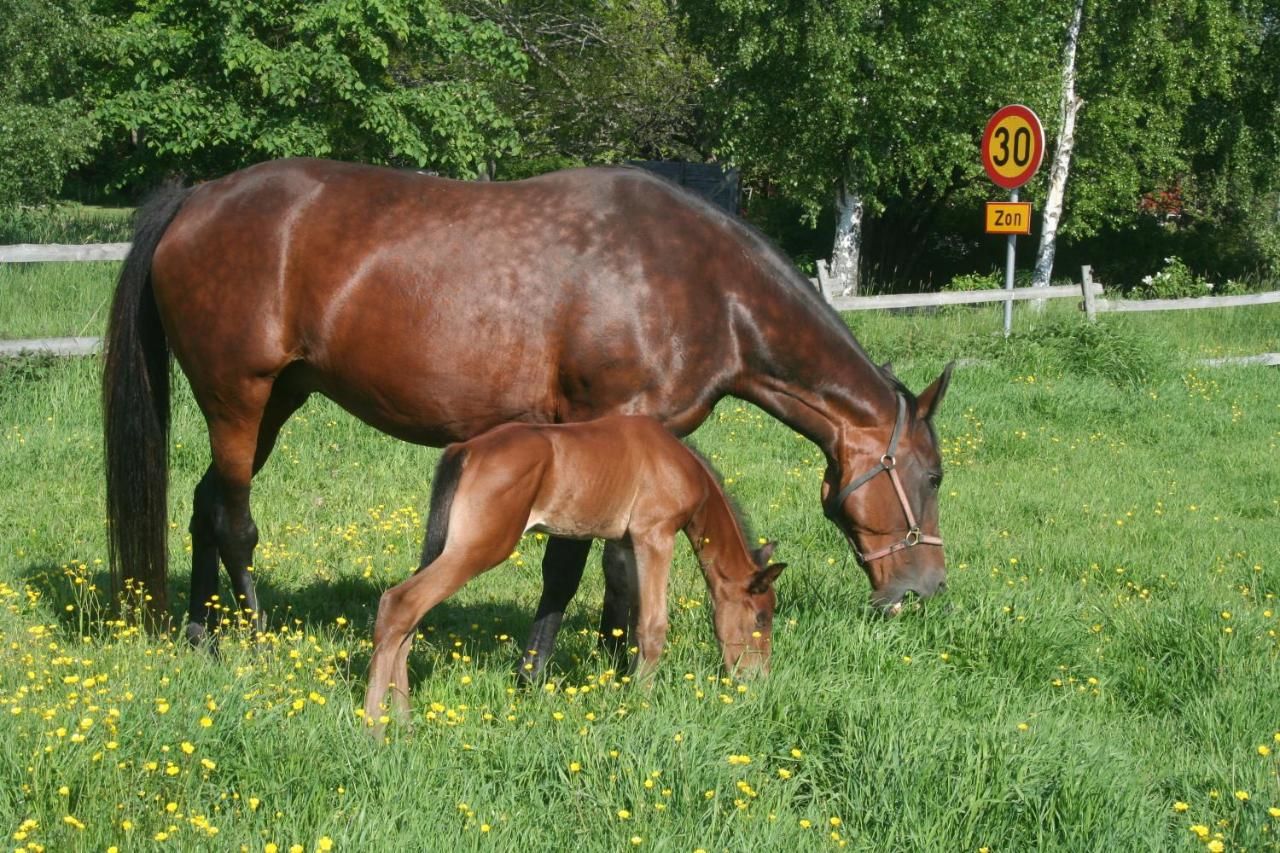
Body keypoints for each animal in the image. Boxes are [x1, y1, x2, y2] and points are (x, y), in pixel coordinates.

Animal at [104, 154, 957, 671]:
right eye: (933, 474)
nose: (923, 589)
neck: (706, 285)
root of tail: (196, 198)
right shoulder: (606, 421)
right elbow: (591, 565)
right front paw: (583, 666)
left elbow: (592, 561)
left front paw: (575, 660)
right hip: (239, 396)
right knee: (234, 520)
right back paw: (252, 636)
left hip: (274, 401)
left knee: (203, 504)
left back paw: (201, 632)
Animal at [358, 414, 778, 722]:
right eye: (761, 618)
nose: (756, 681)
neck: (676, 463)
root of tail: (465, 450)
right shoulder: (655, 536)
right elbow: (654, 624)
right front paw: (641, 703)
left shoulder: (627, 543)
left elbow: (632, 618)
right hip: (481, 548)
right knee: (400, 603)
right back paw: (376, 728)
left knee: (408, 620)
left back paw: (403, 720)